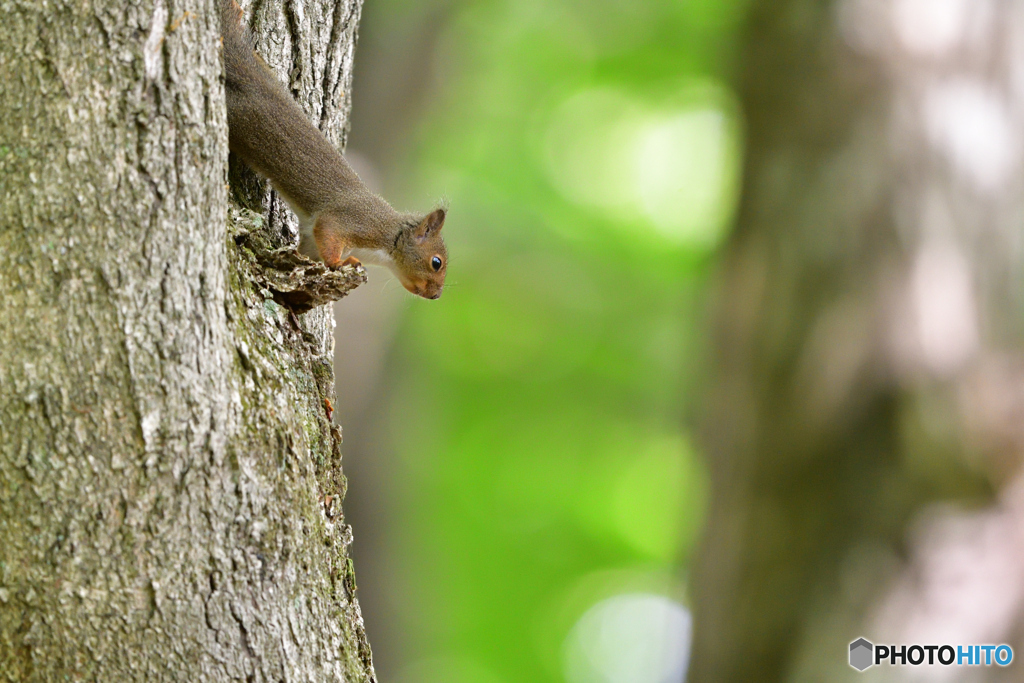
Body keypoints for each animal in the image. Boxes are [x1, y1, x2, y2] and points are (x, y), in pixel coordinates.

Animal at [218, 0, 446, 299]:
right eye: (436, 262)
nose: (436, 295)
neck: (389, 236)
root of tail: (254, 83)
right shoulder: (354, 221)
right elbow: (328, 229)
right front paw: (340, 263)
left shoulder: (313, 239)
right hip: (238, 117)